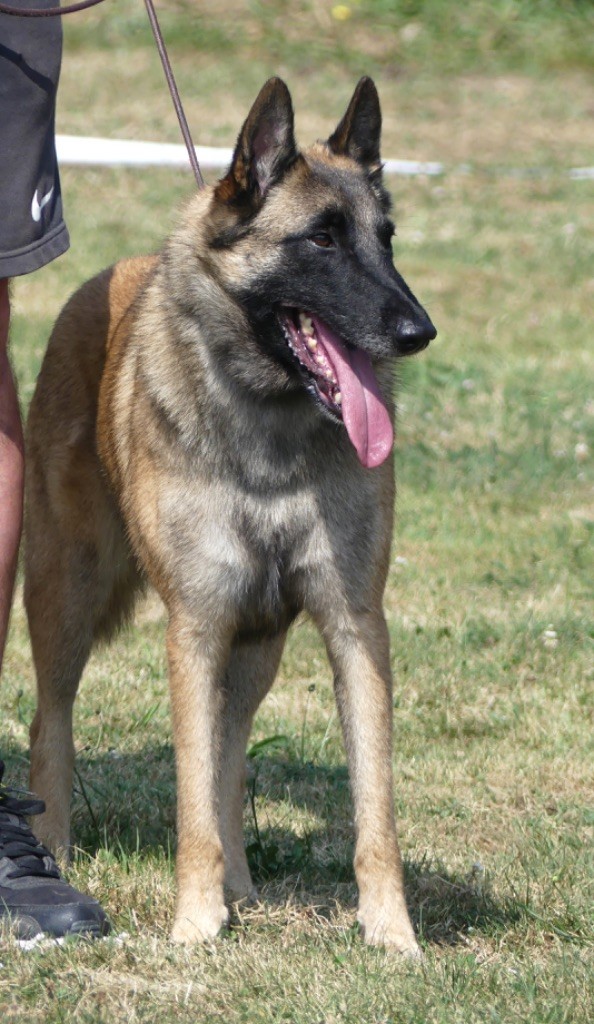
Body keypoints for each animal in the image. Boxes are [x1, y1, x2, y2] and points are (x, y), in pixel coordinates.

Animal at [25, 77, 436, 950]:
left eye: (385, 239)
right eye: (321, 240)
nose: (418, 331)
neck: (270, 429)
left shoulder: (354, 626)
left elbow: (373, 809)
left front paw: (392, 933)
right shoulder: (196, 629)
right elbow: (191, 802)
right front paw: (192, 924)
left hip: (257, 649)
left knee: (231, 752)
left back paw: (242, 887)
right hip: (66, 597)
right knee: (53, 721)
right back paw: (53, 851)